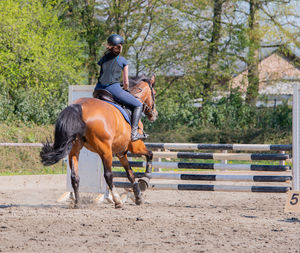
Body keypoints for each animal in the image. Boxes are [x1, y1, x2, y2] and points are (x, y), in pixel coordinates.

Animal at [40, 74, 158, 208]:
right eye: (154, 93)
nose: (155, 114)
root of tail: (79, 107)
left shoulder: (121, 152)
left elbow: (130, 174)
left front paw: (138, 197)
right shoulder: (135, 146)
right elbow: (150, 154)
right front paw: (146, 178)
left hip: (75, 149)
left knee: (75, 176)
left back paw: (77, 203)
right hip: (105, 151)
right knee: (108, 175)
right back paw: (117, 201)